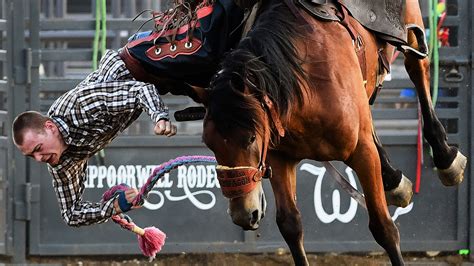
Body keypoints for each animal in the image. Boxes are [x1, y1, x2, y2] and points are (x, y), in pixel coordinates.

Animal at [192, 0, 466, 264]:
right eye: (209, 143)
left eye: (250, 138)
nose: (243, 215)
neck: (306, 84)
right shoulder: (279, 159)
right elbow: (291, 225)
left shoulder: (362, 153)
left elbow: (384, 227)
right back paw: (393, 180)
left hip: (411, 27)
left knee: (417, 67)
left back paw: (445, 157)